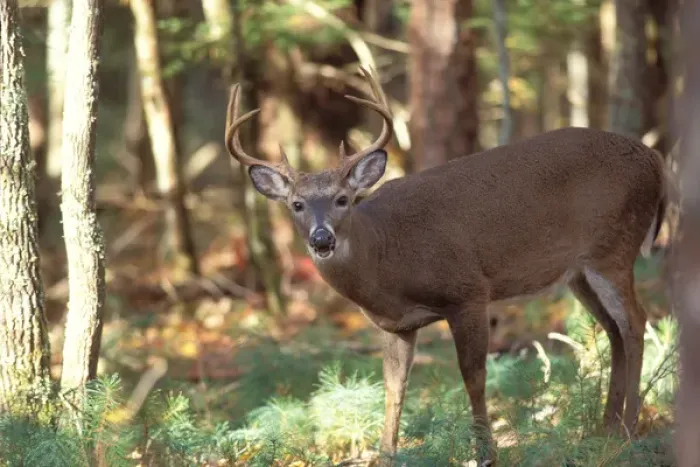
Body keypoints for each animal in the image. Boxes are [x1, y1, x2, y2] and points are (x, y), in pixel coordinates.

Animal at [224, 67, 667, 466]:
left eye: (342, 199)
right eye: (296, 204)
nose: (321, 240)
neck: (387, 257)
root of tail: (656, 160)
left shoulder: (468, 292)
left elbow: (474, 377)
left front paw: (485, 453)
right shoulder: (396, 324)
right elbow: (394, 388)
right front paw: (386, 455)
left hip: (613, 248)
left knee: (635, 321)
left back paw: (628, 430)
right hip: (578, 273)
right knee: (613, 330)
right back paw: (604, 429)